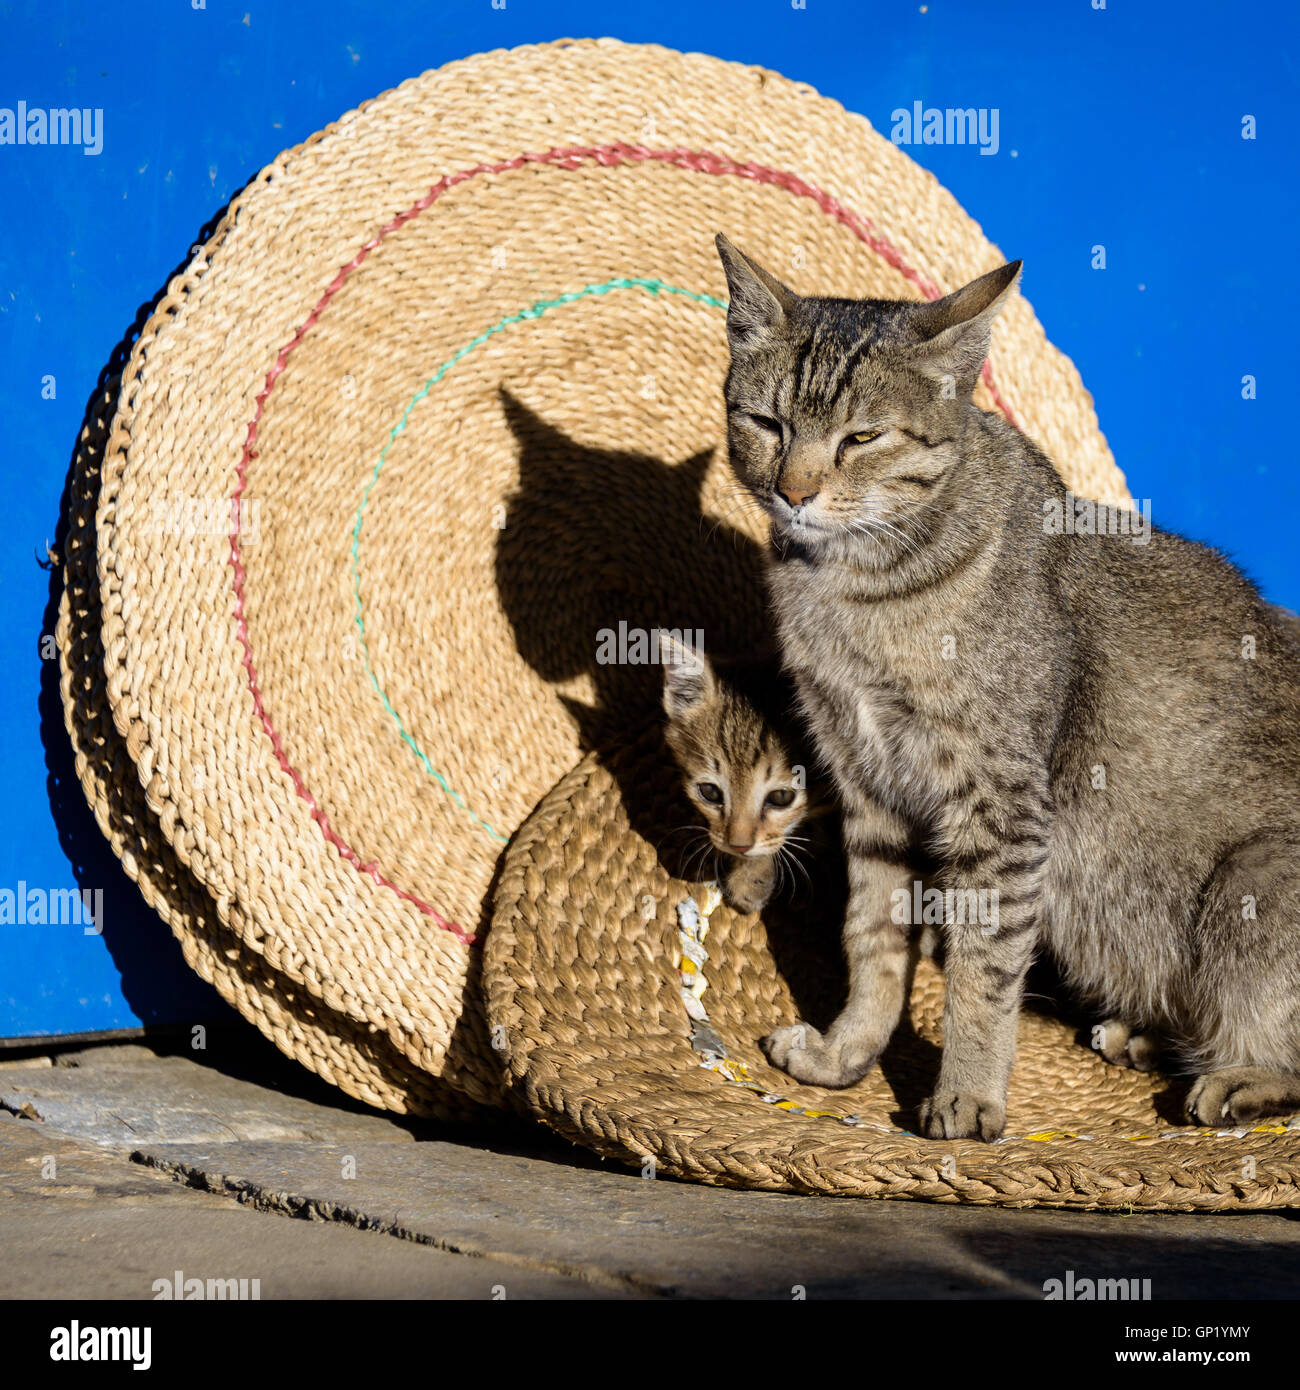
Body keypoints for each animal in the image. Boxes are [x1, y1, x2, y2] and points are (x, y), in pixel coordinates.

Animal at [717, 230, 1300, 1139]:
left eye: (861, 437)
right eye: (766, 422)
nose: (795, 490)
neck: (853, 592)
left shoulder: (999, 803)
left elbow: (980, 968)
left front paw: (967, 1092)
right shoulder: (869, 791)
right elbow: (872, 940)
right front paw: (848, 1053)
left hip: (1253, 884)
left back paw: (1238, 1076)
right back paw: (1144, 1036)